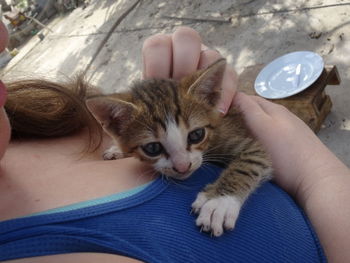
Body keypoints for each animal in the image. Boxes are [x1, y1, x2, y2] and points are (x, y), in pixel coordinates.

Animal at [86, 59, 272, 237]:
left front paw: (219, 203)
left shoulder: (249, 144)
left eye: (197, 135)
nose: (183, 167)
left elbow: (248, 164)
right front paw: (117, 149)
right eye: (152, 148)